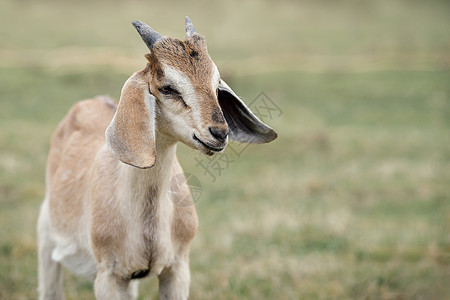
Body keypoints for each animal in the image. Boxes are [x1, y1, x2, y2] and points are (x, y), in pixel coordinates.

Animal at [37, 17, 278, 300]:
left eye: (216, 84)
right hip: (47, 240)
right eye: (168, 88)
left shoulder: (177, 269)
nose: (219, 133)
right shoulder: (108, 276)